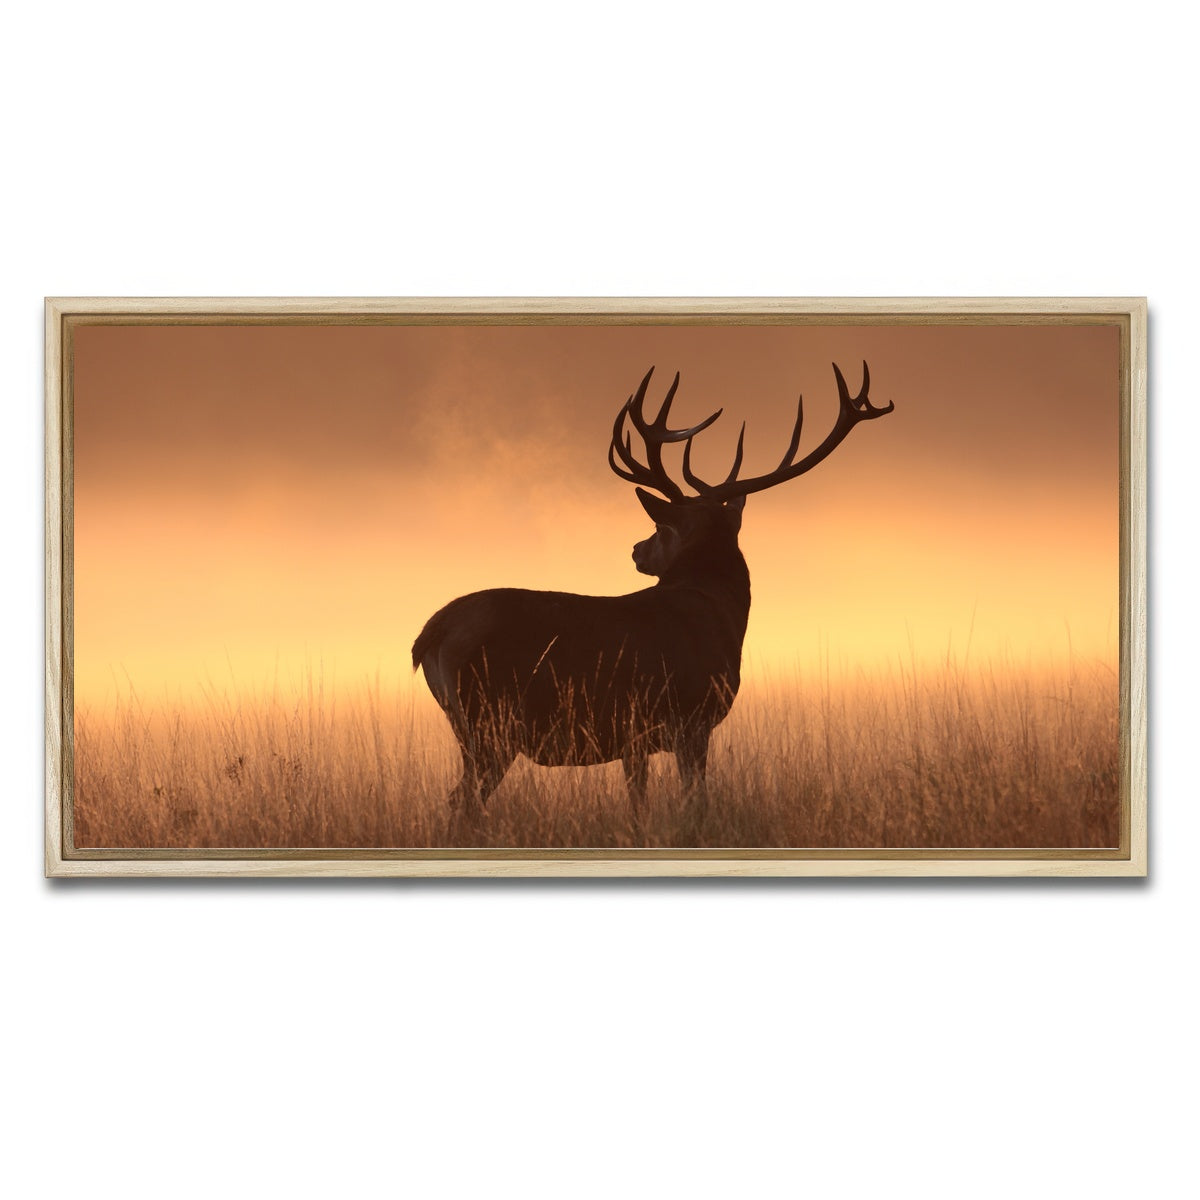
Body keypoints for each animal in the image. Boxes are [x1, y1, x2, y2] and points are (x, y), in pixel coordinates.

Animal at [412, 361, 893, 822]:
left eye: (660, 529)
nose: (636, 550)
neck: (721, 617)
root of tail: (430, 635)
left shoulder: (635, 738)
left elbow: (638, 802)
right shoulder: (691, 718)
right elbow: (695, 802)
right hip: (490, 721)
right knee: (461, 801)